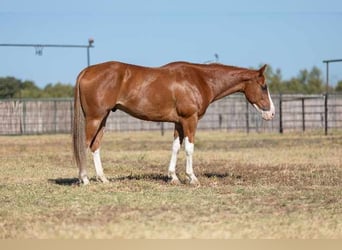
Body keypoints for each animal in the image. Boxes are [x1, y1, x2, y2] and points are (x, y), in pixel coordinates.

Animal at [73, 60, 276, 186]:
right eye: (263, 86)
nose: (272, 113)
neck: (200, 79)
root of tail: (87, 71)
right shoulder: (190, 120)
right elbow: (189, 148)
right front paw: (192, 178)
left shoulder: (178, 123)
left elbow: (176, 148)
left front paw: (173, 177)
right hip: (95, 118)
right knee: (84, 145)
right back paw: (85, 179)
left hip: (103, 118)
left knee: (95, 146)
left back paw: (103, 178)